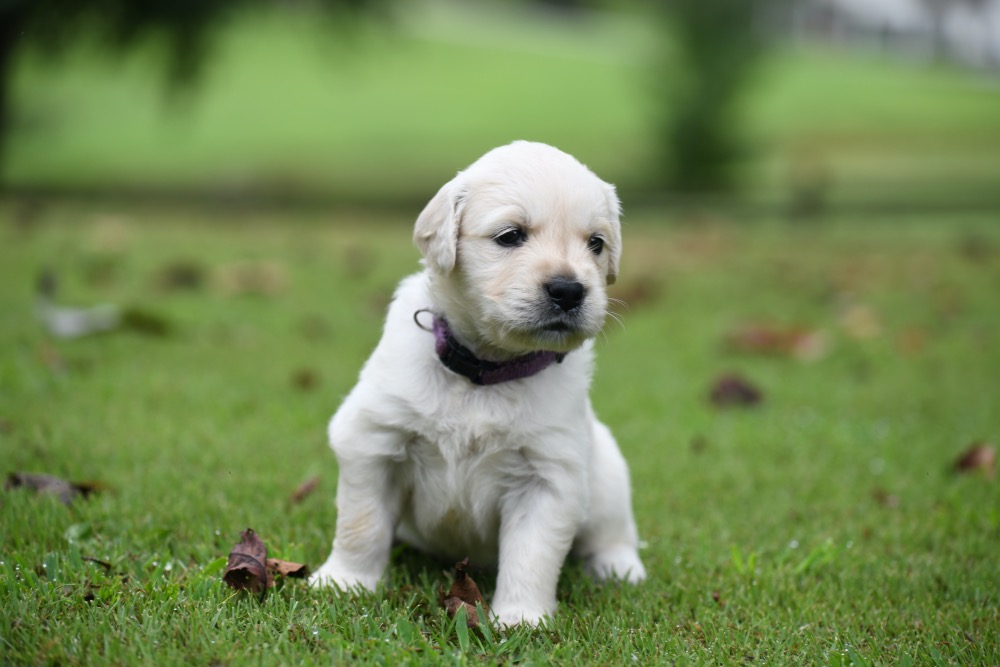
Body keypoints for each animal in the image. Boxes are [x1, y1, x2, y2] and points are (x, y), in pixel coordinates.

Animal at [308, 141, 644, 628]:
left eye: (596, 243)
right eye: (510, 236)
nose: (568, 290)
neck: (485, 370)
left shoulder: (548, 477)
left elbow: (531, 555)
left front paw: (521, 617)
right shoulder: (372, 440)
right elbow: (361, 522)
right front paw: (344, 582)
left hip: (608, 475)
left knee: (612, 532)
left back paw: (619, 567)